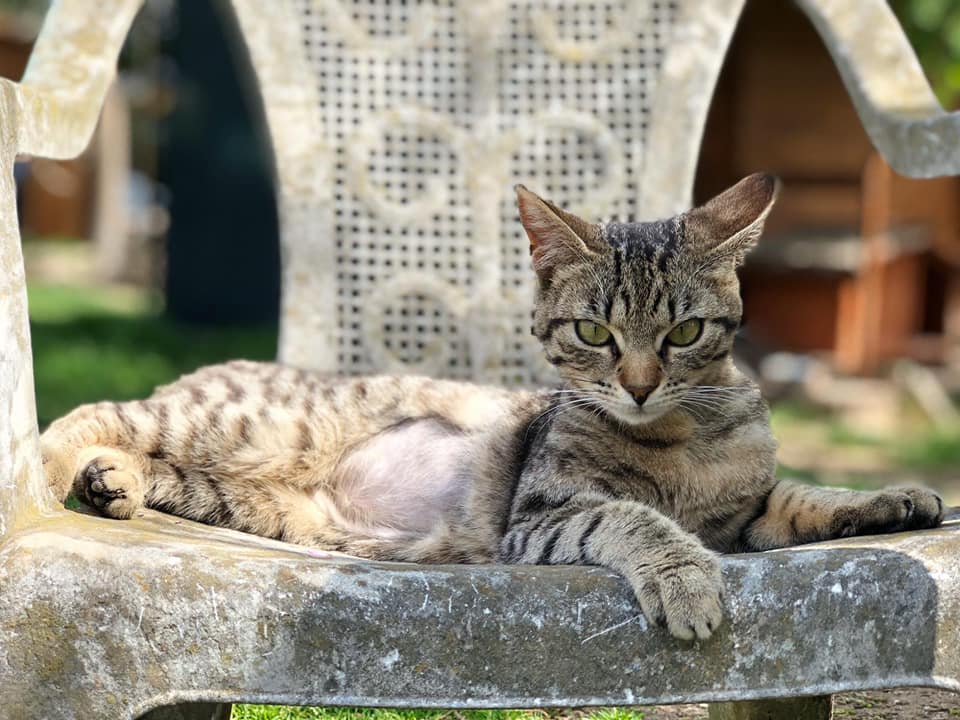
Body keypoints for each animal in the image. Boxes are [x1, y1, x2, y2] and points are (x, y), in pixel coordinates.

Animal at [41, 173, 944, 641]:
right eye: (594, 332)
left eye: (685, 331)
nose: (639, 383)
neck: (680, 437)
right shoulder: (544, 513)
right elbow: (636, 519)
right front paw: (684, 578)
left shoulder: (749, 510)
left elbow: (805, 496)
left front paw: (891, 499)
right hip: (246, 426)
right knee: (94, 412)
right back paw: (55, 469)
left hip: (238, 495)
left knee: (157, 464)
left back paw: (111, 483)